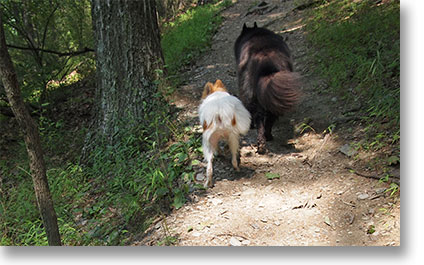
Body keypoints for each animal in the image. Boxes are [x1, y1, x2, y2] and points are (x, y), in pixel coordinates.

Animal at [234, 23, 300, 155]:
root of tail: (266, 63)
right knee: (268, 118)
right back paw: (266, 139)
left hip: (250, 94)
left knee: (259, 118)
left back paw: (261, 140)